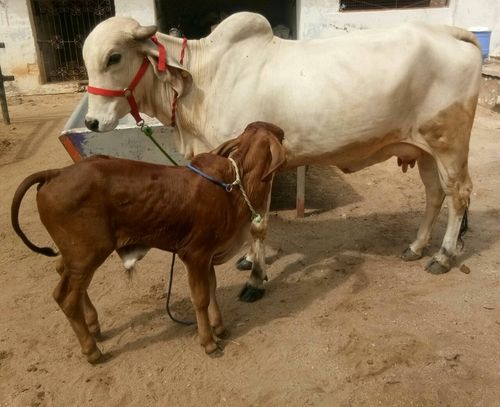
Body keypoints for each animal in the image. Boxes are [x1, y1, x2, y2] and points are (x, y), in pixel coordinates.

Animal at [11, 121, 284, 364]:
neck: (236, 185)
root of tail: (56, 173)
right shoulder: (195, 254)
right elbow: (201, 298)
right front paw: (208, 342)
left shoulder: (208, 256)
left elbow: (212, 289)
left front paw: (219, 328)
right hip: (87, 254)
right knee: (65, 298)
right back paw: (92, 351)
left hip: (77, 256)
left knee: (62, 272)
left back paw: (93, 324)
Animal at [84, 11, 482, 302]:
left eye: (114, 57)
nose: (91, 121)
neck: (203, 79)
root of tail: (451, 32)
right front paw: (247, 259)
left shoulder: (256, 168)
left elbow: (258, 224)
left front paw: (257, 279)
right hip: (424, 149)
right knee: (434, 194)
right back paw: (416, 246)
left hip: (449, 144)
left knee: (459, 194)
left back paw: (443, 256)